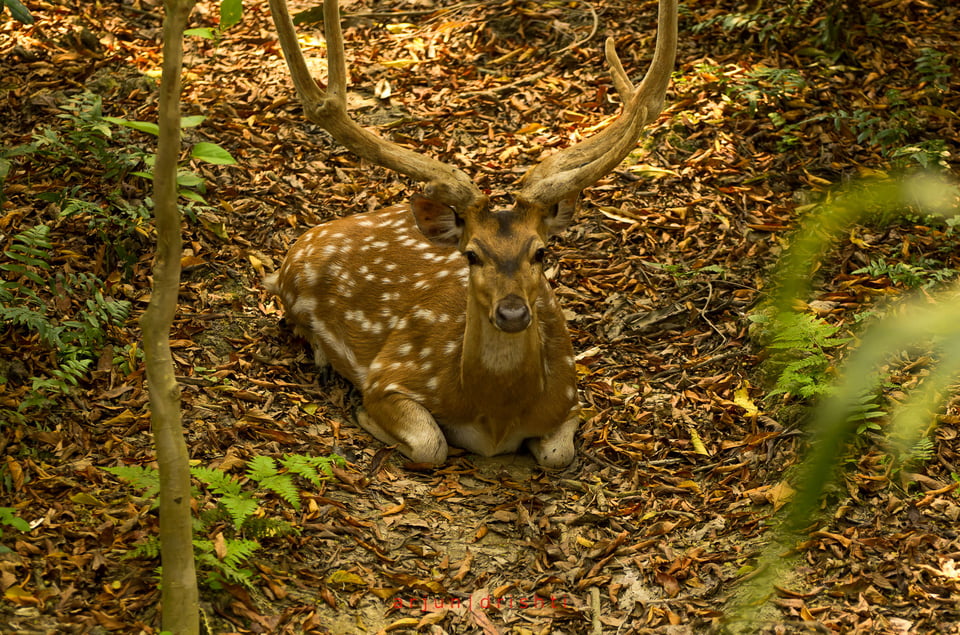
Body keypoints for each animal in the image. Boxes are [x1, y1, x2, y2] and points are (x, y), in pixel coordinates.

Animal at [264, 0, 676, 468]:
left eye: (540, 252)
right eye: (471, 254)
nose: (512, 313)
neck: (494, 418)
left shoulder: (570, 397)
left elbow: (558, 453)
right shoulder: (390, 376)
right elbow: (431, 444)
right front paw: (365, 418)